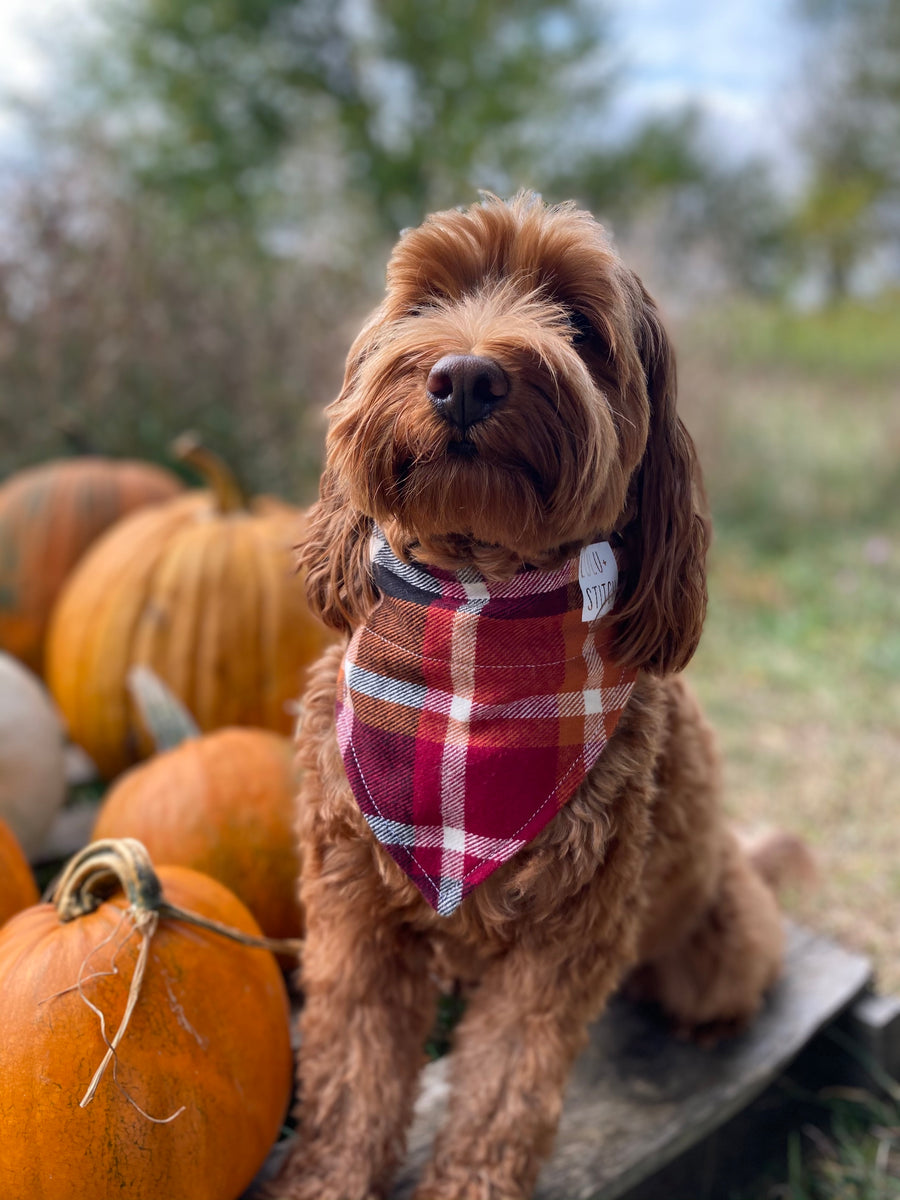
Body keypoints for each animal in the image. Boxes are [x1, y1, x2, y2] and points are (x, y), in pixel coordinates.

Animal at [273, 192, 787, 1200]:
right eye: (425, 302)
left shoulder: (563, 939)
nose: (466, 378)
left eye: (581, 327)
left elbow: (503, 1091)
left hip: (718, 935)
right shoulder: (354, 910)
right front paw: (327, 1179)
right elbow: (351, 1071)